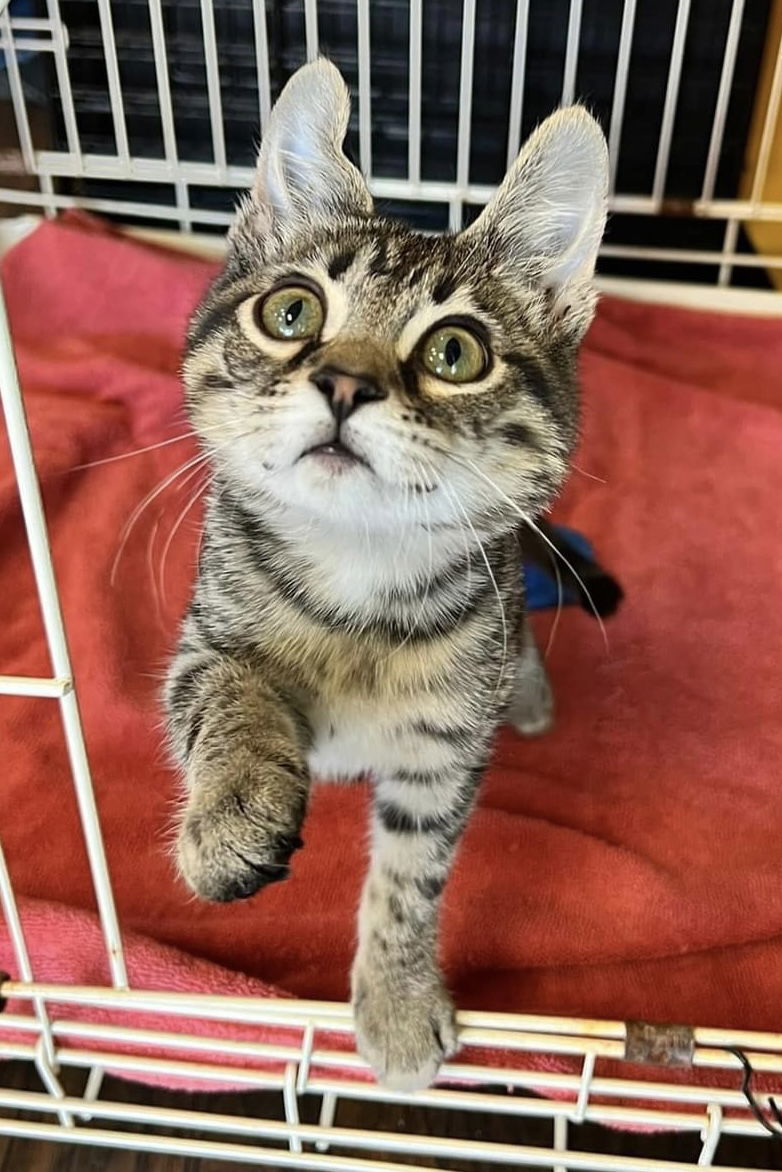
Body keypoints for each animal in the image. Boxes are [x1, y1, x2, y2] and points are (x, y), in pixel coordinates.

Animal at [164, 61, 604, 1087]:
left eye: (455, 351)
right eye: (291, 311)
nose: (344, 383)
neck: (357, 583)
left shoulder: (444, 749)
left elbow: (413, 874)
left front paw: (396, 1002)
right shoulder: (200, 637)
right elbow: (225, 689)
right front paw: (230, 812)